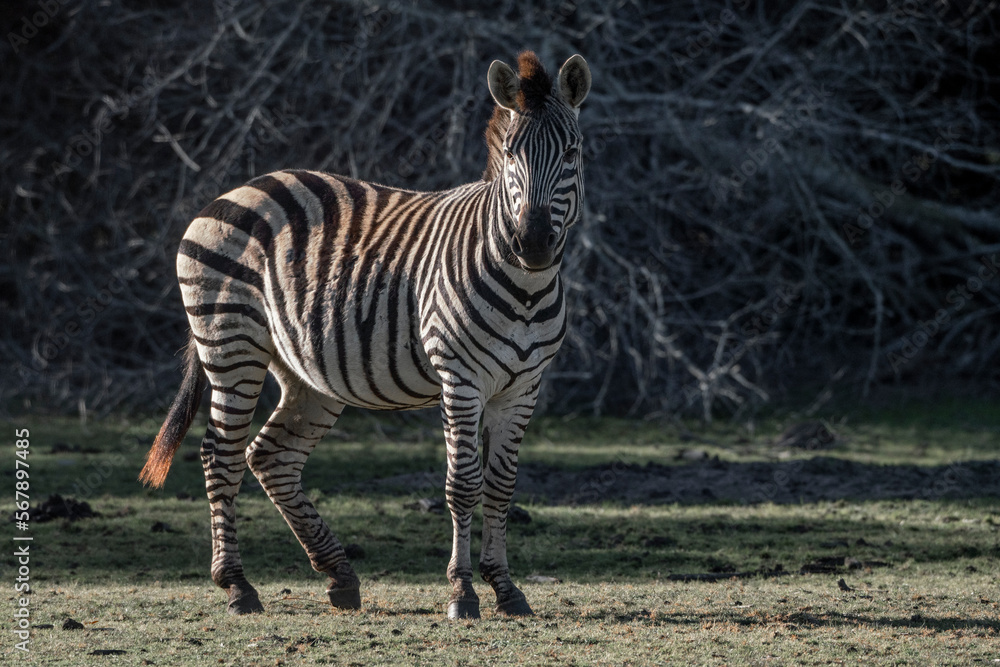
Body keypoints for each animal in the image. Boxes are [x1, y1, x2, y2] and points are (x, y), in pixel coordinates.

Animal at [140, 50, 591, 620]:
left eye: (572, 151)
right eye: (512, 154)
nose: (531, 243)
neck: (526, 288)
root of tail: (233, 191)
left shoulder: (523, 388)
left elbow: (502, 485)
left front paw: (506, 588)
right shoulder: (460, 380)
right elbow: (464, 484)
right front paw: (462, 592)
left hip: (306, 373)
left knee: (272, 455)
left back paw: (340, 576)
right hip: (231, 344)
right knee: (221, 454)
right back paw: (238, 586)